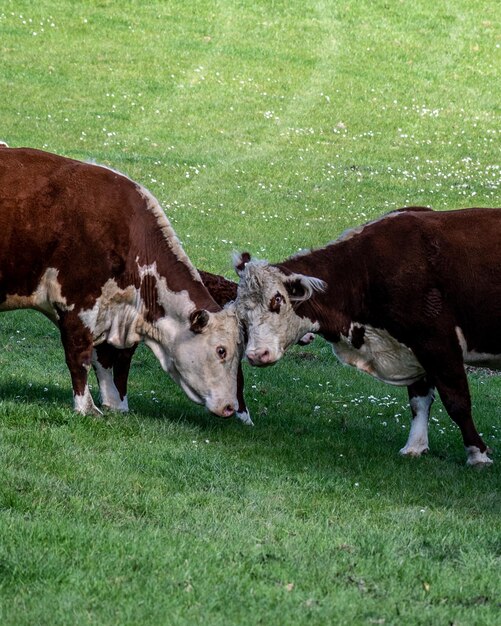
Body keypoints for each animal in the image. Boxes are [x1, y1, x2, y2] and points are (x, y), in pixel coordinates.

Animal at [0, 146, 242, 416]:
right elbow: (79, 357)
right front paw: (86, 408)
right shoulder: (77, 305)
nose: (231, 407)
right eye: (221, 351)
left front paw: (116, 404)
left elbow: (113, 362)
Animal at [234, 207, 500, 466]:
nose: (256, 354)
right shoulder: (413, 349)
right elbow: (419, 400)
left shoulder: (438, 344)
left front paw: (477, 454)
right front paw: (414, 446)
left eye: (277, 300)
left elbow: (457, 402)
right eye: (241, 311)